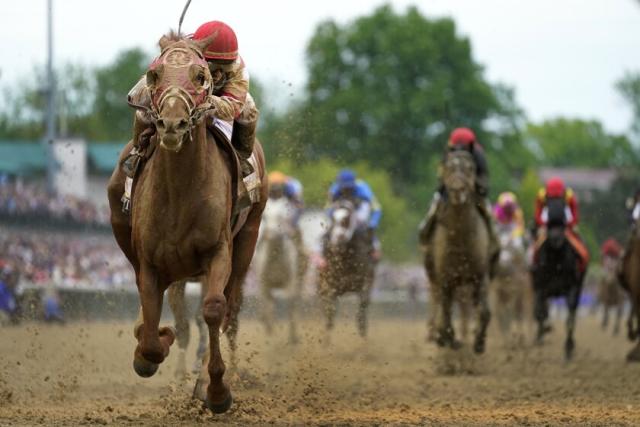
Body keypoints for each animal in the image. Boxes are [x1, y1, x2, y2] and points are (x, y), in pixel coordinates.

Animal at [106, 33, 266, 414]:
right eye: (154, 74)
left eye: (200, 75)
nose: (172, 124)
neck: (179, 193)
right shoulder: (151, 263)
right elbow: (154, 333)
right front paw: (152, 346)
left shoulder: (218, 252)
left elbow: (213, 310)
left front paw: (216, 390)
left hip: (248, 240)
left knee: (230, 311)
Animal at [318, 199, 376, 336]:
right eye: (332, 219)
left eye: (347, 220)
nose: (337, 241)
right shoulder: (330, 285)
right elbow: (330, 311)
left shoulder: (367, 278)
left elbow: (364, 302)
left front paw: (362, 328)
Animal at [422, 150, 492, 354]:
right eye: (448, 168)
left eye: (470, 169)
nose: (457, 190)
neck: (461, 239)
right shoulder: (445, 278)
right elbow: (445, 316)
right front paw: (447, 339)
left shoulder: (480, 276)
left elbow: (485, 312)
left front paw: (479, 342)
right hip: (436, 277)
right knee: (439, 304)